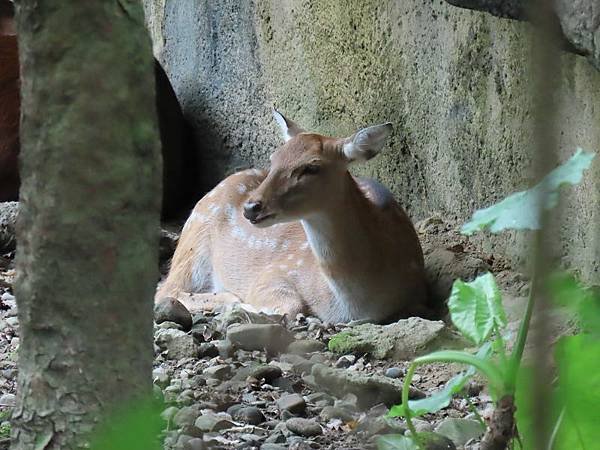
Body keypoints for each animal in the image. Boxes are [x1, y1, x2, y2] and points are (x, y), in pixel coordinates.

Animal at [157, 110, 428, 324]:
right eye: (273, 159)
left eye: (312, 167)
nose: (251, 207)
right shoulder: (273, 272)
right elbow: (289, 306)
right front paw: (241, 306)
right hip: (193, 245)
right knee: (166, 289)